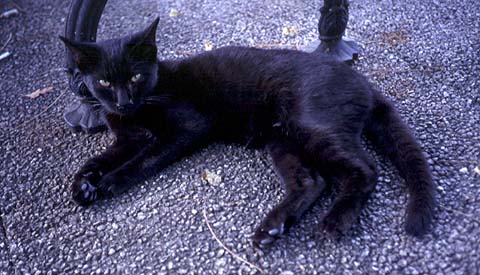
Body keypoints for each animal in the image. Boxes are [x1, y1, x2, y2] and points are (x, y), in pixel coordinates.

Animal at [60, 18, 436, 248]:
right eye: (104, 82)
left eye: (135, 77)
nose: (123, 101)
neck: (145, 101)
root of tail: (363, 83)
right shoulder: (128, 138)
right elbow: (99, 158)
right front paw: (83, 185)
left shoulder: (187, 128)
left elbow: (144, 161)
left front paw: (110, 182)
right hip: (283, 140)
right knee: (311, 181)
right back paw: (273, 228)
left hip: (310, 125)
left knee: (365, 170)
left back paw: (334, 222)